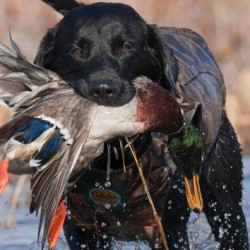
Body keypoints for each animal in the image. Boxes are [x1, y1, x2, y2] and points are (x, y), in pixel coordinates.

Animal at [36, 0, 249, 249]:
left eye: (126, 46)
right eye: (76, 51)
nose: (103, 89)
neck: (113, 161)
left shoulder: (169, 229)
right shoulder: (80, 229)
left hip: (226, 203)